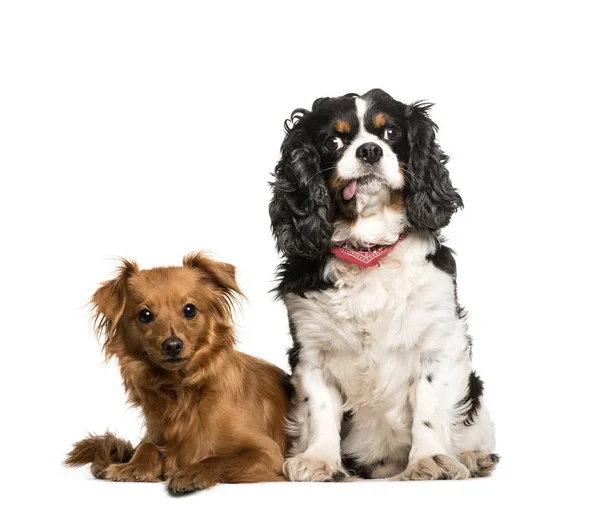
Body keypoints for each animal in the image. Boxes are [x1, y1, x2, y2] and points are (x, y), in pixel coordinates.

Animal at [65, 254, 290, 494]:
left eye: (189, 310)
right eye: (145, 315)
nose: (172, 345)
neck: (182, 391)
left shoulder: (268, 453)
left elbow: (217, 459)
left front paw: (192, 472)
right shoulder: (154, 435)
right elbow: (146, 446)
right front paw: (134, 467)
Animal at [270, 88, 500, 480]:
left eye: (391, 133)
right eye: (333, 141)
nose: (370, 150)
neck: (369, 249)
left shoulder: (439, 342)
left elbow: (430, 406)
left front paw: (429, 459)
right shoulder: (311, 352)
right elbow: (319, 409)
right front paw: (319, 459)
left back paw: (473, 457)